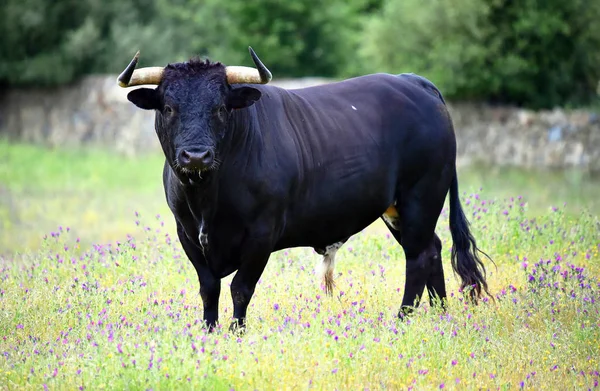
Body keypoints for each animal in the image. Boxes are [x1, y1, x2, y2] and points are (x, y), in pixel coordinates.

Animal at [117, 48, 492, 330]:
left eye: (221, 108)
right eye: (168, 107)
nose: (195, 156)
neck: (208, 198)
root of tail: (412, 81)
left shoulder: (262, 234)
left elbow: (240, 289)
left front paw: (236, 333)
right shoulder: (187, 232)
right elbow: (209, 288)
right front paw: (208, 334)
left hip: (421, 196)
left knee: (418, 257)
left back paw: (402, 320)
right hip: (399, 208)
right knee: (433, 248)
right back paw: (440, 314)